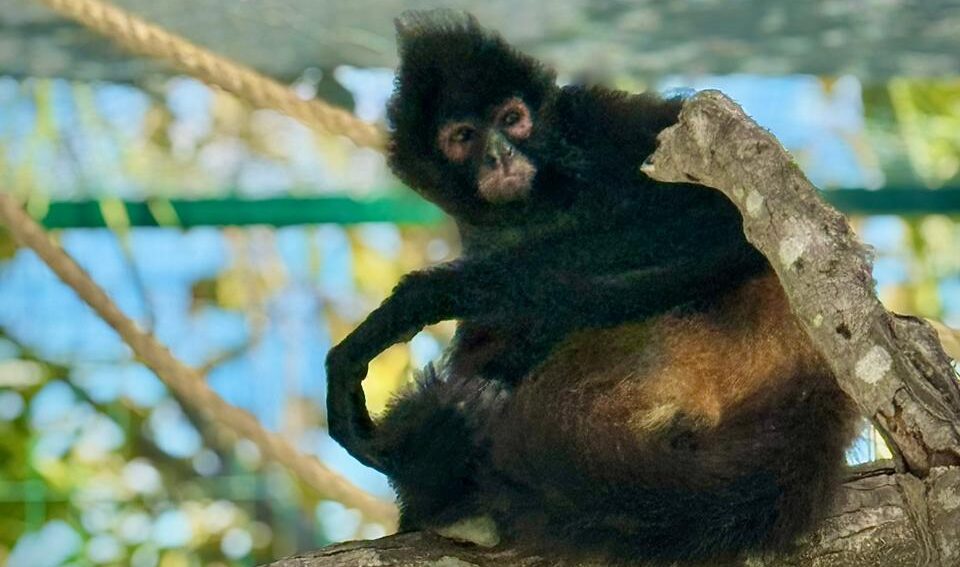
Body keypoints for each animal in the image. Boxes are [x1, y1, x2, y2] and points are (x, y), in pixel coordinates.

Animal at [325, 10, 858, 563]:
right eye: (464, 136)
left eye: (512, 119)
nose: (500, 155)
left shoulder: (600, 123)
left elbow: (724, 221)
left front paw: (417, 302)